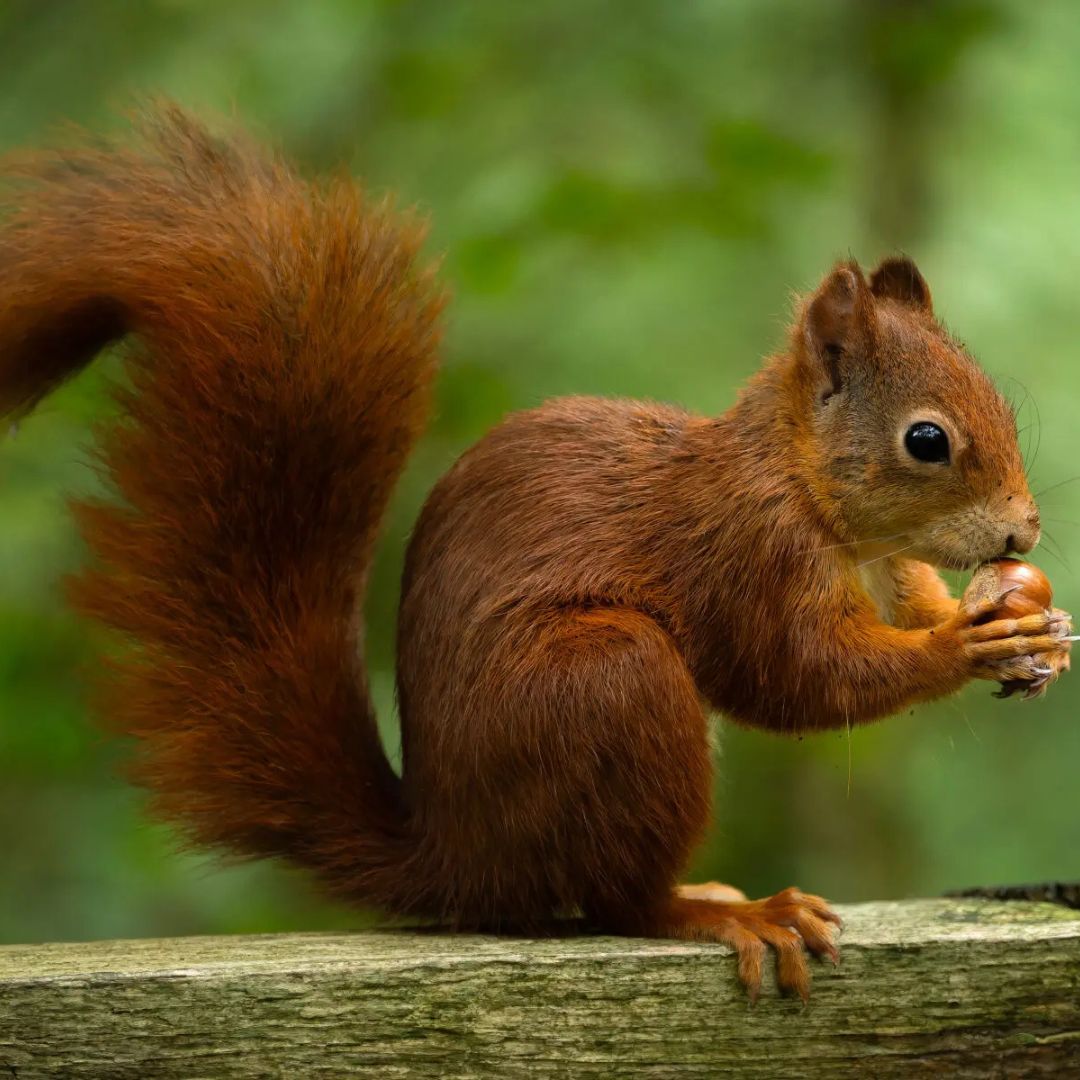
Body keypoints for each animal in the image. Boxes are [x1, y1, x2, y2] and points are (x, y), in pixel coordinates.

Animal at [1, 105, 1071, 1001]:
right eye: (926, 440)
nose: (1022, 532)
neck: (812, 491)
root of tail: (455, 858)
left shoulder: (887, 563)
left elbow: (908, 605)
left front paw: (1030, 627)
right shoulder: (748, 552)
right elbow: (799, 677)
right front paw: (963, 646)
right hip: (606, 682)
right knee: (618, 902)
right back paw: (718, 912)